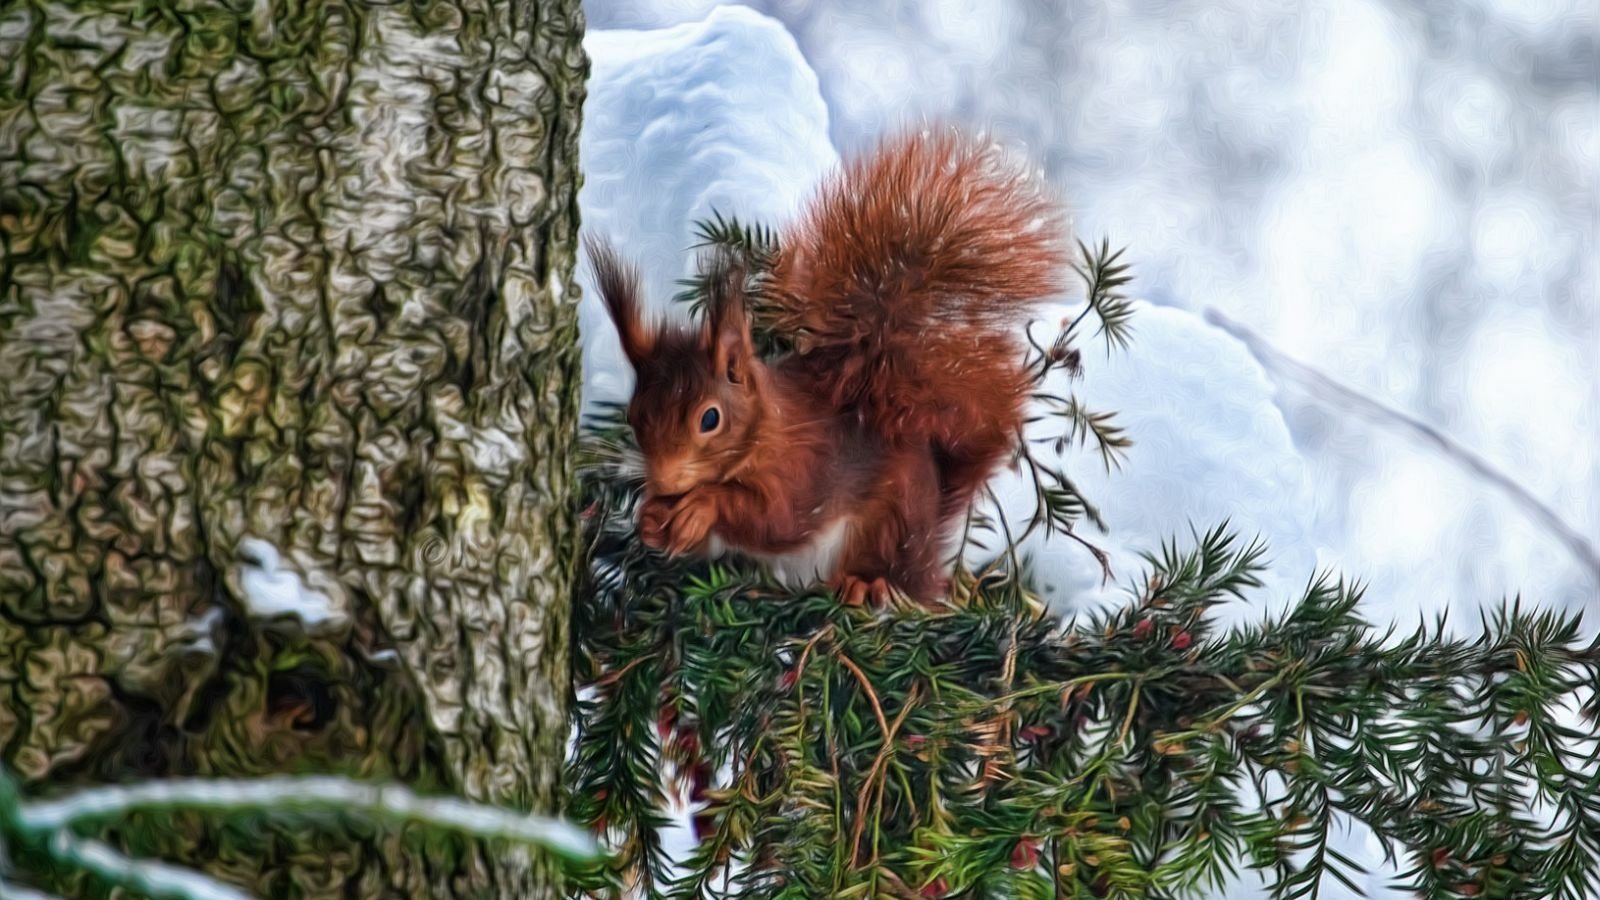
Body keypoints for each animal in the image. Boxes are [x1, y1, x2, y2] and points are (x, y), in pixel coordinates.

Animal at [589, 128, 1070, 606]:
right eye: (635, 416)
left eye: (710, 418)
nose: (665, 481)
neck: (765, 431)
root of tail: (929, 555)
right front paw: (651, 517)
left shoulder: (804, 468)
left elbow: (774, 519)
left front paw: (704, 504)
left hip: (891, 524)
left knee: (898, 579)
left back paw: (867, 585)